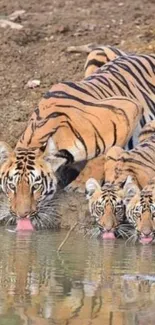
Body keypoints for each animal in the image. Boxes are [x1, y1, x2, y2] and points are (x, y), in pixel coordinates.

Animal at [0, 45, 154, 228]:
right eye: (11, 186)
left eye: (35, 186)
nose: (21, 215)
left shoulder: (126, 109)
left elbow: (101, 155)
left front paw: (79, 184)